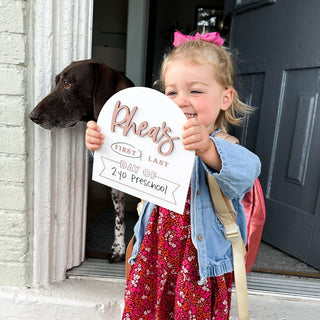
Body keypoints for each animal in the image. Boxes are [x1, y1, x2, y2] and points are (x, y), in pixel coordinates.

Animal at [29, 59, 134, 262]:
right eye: (56, 81)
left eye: (68, 83)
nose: (32, 116)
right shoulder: (116, 186)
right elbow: (119, 218)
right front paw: (119, 248)